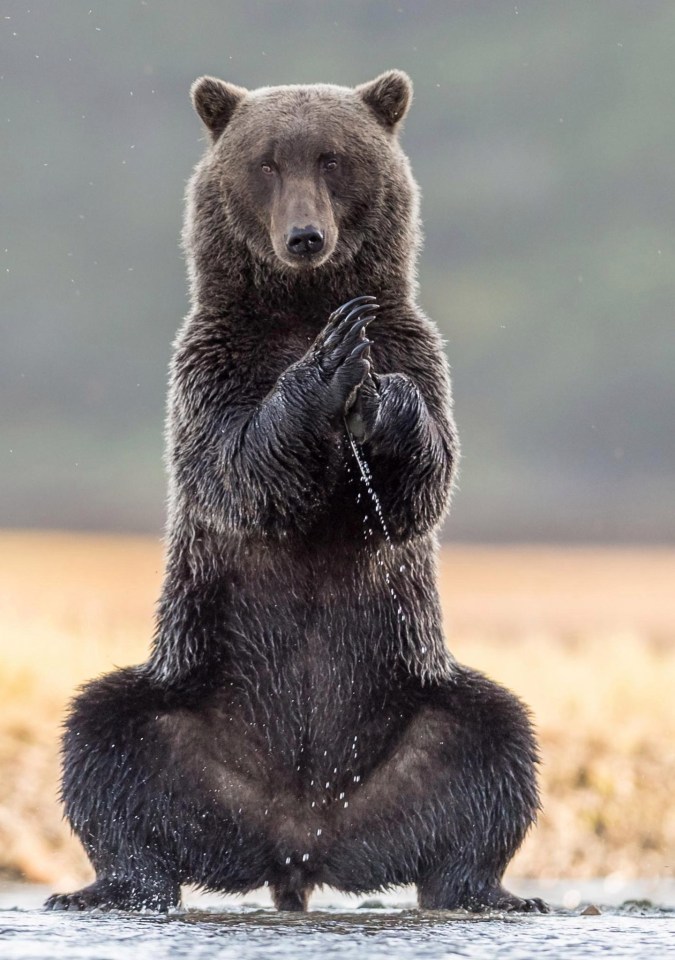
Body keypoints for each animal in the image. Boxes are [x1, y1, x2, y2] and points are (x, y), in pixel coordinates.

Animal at [46, 71, 544, 912]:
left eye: (332, 158)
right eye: (267, 163)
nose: (304, 237)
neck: (299, 307)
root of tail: (298, 839)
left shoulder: (417, 348)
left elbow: (421, 481)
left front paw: (375, 393)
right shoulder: (213, 365)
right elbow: (239, 469)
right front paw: (329, 365)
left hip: (412, 699)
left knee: (493, 747)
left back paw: (489, 889)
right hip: (191, 691)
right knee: (105, 742)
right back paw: (108, 885)